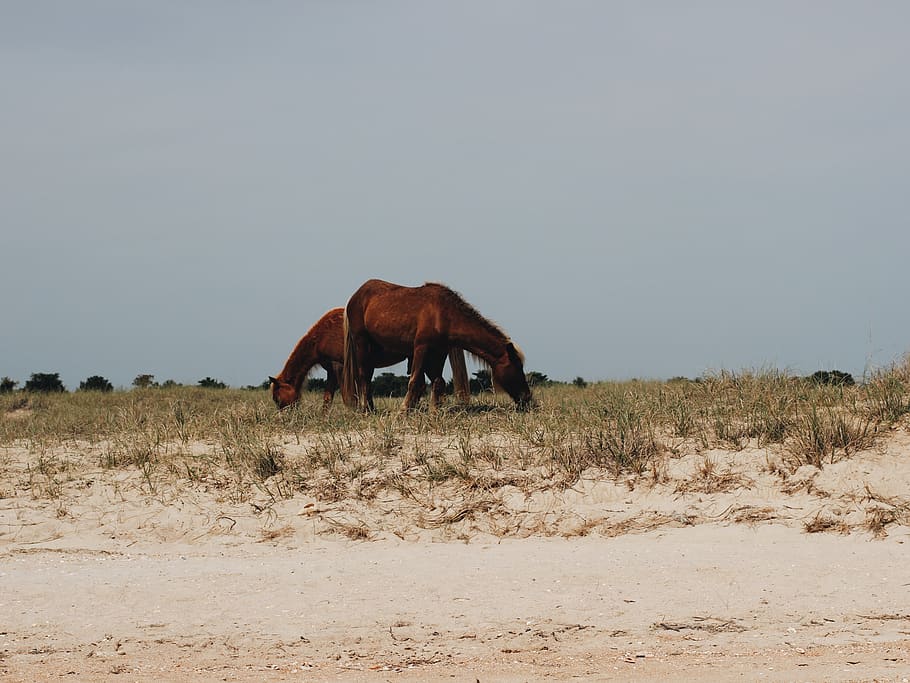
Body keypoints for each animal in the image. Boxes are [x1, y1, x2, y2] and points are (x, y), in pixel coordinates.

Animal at [269, 307, 470, 410]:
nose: (284, 415)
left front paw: (354, 411)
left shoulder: (340, 367)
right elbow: (329, 396)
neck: (323, 335)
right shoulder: (334, 370)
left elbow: (347, 395)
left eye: (277, 397)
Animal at [341, 279, 533, 412]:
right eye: (517, 367)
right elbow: (415, 381)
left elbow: (437, 382)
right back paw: (366, 409)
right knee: (363, 377)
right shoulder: (421, 348)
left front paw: (434, 411)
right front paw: (403, 410)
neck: (445, 314)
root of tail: (354, 297)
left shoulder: (439, 352)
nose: (528, 398)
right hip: (362, 344)